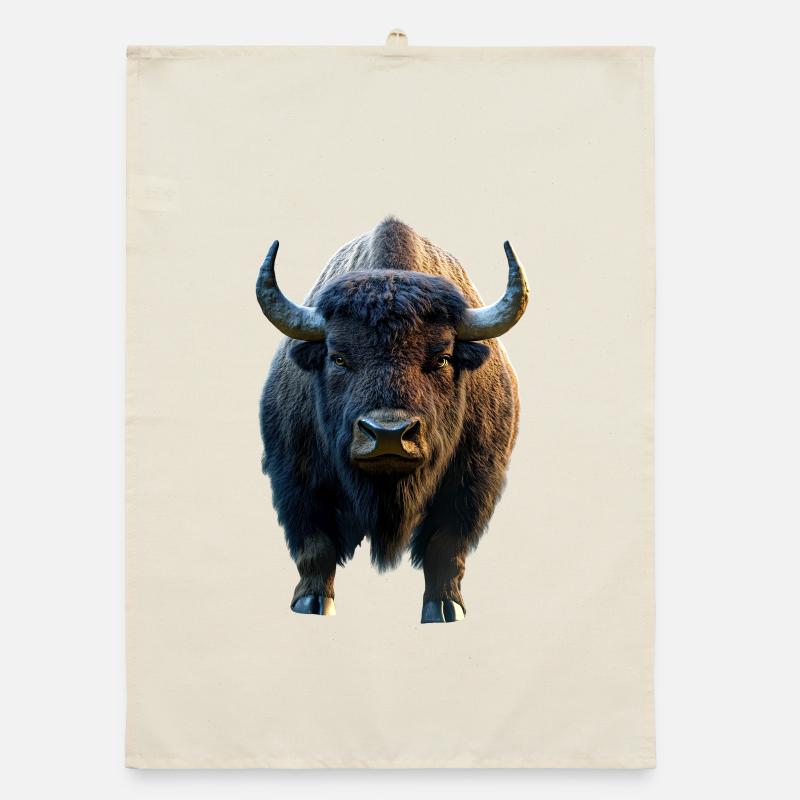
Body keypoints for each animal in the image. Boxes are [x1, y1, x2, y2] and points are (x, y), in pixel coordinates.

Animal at [257, 218, 529, 623]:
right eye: (338, 357)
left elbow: (445, 546)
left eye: (441, 358)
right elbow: (315, 544)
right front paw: (312, 603)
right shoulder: (296, 476)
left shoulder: (474, 481)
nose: (388, 435)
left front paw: (444, 608)